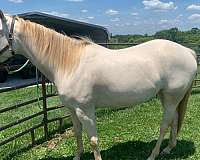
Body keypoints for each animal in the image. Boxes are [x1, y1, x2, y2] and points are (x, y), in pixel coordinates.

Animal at [0, 11, 197, 160]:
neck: (70, 64)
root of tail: (188, 51)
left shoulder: (85, 110)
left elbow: (93, 140)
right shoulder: (72, 110)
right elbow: (77, 132)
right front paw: (77, 156)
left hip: (171, 97)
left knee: (164, 124)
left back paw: (153, 154)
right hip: (166, 96)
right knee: (174, 120)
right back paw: (169, 148)